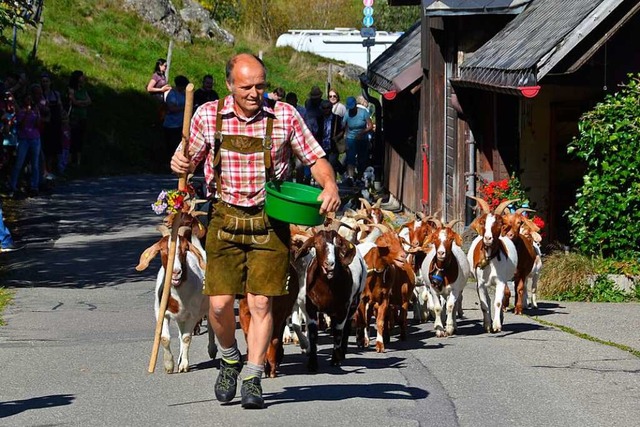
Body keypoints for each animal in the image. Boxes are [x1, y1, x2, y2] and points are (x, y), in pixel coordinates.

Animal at [134, 224, 215, 374]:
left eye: (185, 249)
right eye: (162, 249)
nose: (176, 272)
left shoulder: (192, 315)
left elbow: (187, 338)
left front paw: (184, 365)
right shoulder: (162, 313)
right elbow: (165, 338)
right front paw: (169, 365)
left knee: (211, 327)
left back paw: (212, 350)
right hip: (180, 318)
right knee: (180, 333)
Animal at [464, 197, 520, 334]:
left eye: (499, 223)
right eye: (483, 222)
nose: (488, 238)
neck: (489, 258)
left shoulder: (500, 281)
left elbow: (498, 302)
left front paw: (496, 325)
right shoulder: (480, 283)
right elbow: (484, 304)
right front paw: (488, 325)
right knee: (488, 301)